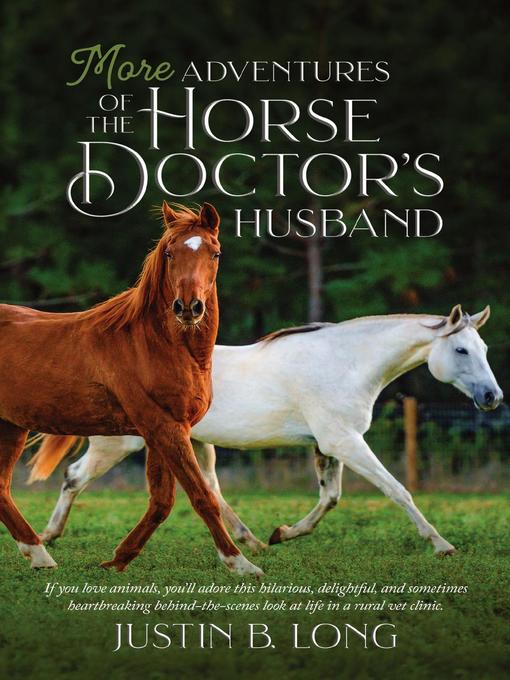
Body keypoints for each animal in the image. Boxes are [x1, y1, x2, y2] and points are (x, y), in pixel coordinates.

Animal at [0, 202, 262, 577]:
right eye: (169, 252)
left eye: (215, 253)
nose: (188, 307)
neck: (156, 345)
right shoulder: (164, 428)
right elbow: (201, 497)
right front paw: (241, 563)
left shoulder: (166, 430)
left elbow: (162, 502)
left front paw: (118, 559)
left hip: (11, 427)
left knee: (2, 489)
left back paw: (40, 556)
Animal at [29, 305, 503, 558]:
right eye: (461, 350)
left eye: (483, 348)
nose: (492, 397)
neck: (345, 363)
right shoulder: (345, 441)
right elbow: (397, 490)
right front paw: (441, 544)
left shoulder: (328, 446)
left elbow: (330, 498)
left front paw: (284, 533)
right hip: (117, 445)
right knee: (73, 477)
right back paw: (48, 537)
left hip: (194, 444)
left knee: (210, 489)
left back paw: (252, 542)